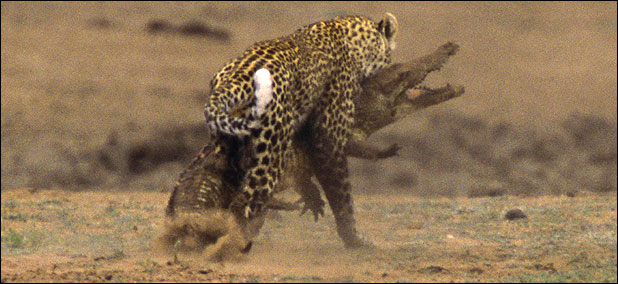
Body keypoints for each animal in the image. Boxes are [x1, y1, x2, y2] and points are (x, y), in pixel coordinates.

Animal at [202, 12, 394, 248]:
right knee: (244, 204)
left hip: (225, 147)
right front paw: (354, 237)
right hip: (270, 158)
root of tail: (233, 79)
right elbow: (341, 193)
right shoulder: (329, 136)